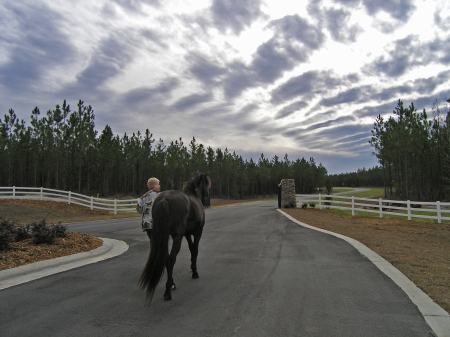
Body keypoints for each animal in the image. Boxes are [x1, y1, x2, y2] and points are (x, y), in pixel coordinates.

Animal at [139, 171, 211, 302]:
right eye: (206, 184)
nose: (207, 201)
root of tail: (164, 199)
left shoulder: (187, 234)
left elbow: (191, 249)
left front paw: (192, 267)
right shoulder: (198, 232)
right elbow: (195, 250)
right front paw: (195, 272)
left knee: (165, 257)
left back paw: (172, 284)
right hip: (177, 237)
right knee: (171, 259)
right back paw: (168, 291)